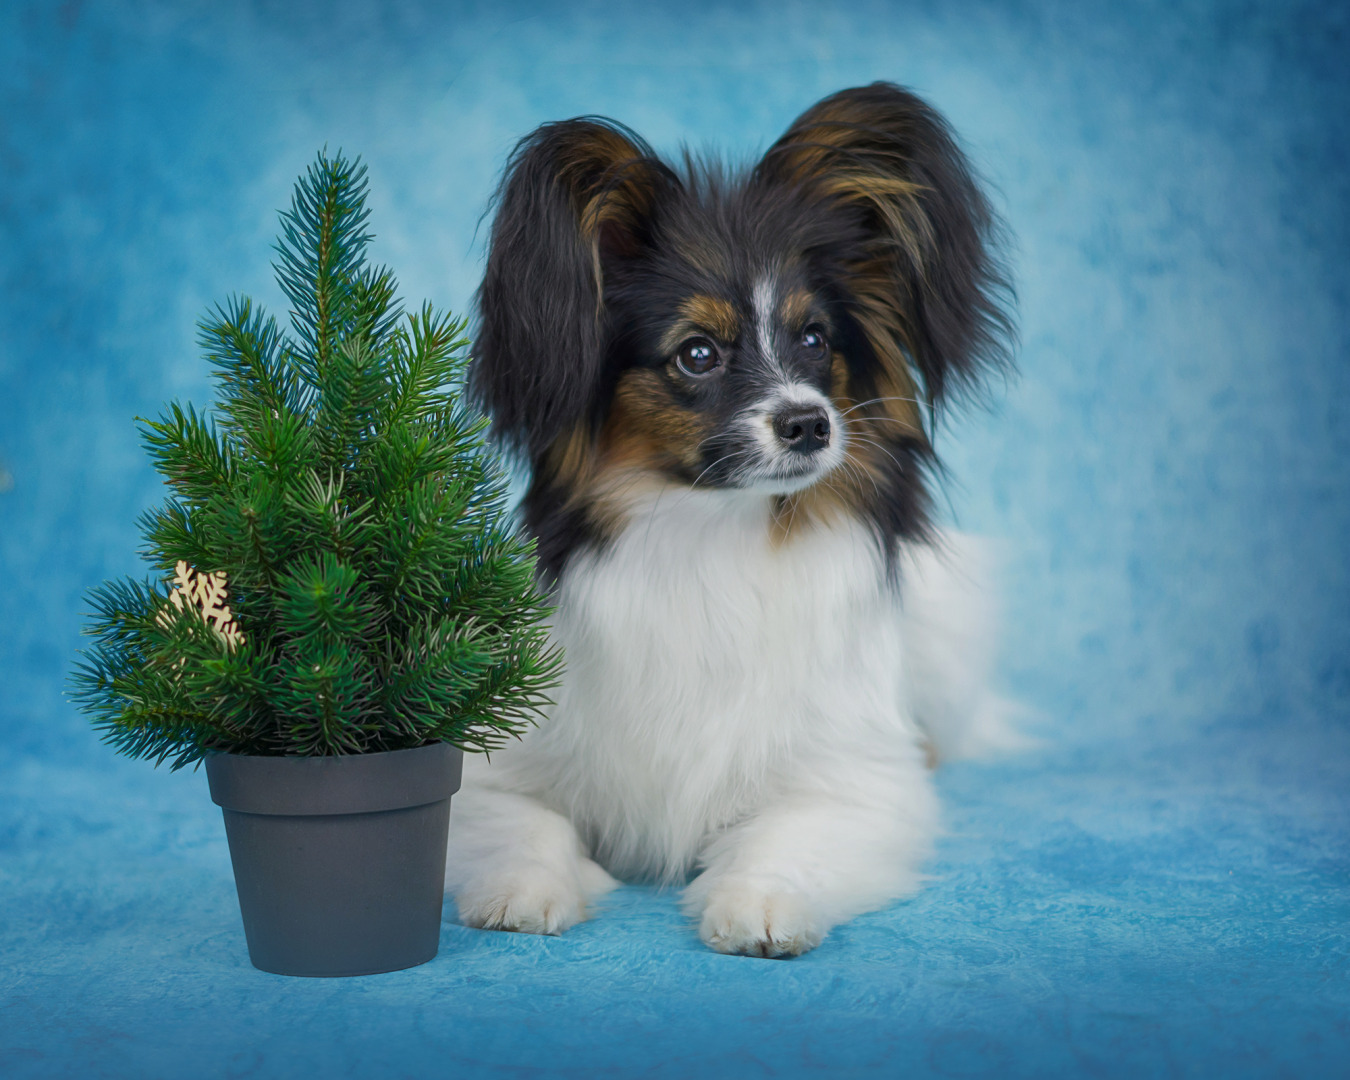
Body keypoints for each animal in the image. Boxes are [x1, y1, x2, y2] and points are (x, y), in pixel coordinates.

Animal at [448, 86, 1015, 961]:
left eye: (814, 339)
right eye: (697, 354)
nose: (810, 423)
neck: (709, 532)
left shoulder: (858, 785)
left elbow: (789, 836)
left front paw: (760, 901)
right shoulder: (492, 765)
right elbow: (525, 826)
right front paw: (521, 890)